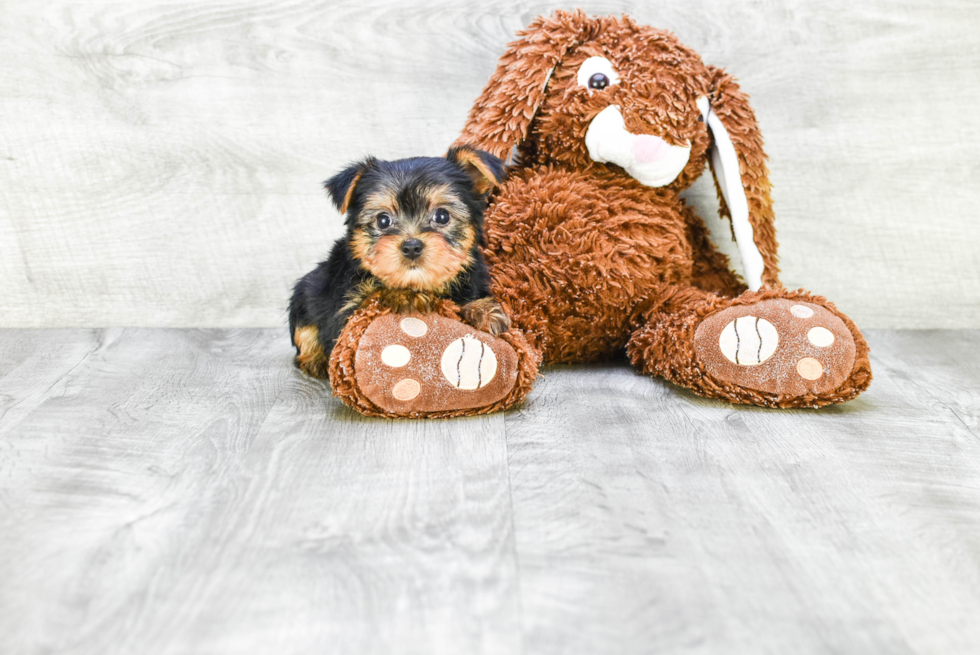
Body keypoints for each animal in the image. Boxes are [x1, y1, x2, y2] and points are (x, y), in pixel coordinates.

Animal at [288, 144, 510, 380]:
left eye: (442, 216)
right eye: (383, 220)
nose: (411, 246)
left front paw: (484, 310)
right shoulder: (346, 313)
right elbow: (372, 298)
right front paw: (405, 295)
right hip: (305, 295)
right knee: (305, 332)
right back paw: (314, 360)